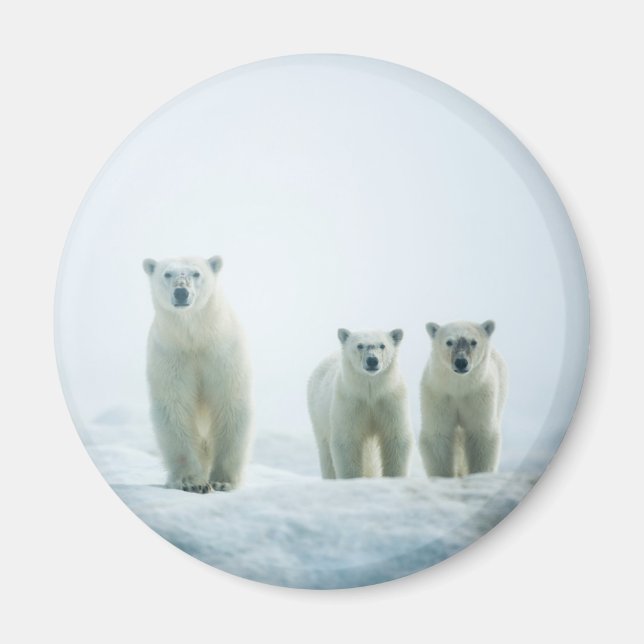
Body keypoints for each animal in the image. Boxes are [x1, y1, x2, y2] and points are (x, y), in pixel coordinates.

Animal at [142, 255, 253, 493]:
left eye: (196, 273)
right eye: (167, 273)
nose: (181, 292)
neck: (195, 338)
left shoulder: (223, 353)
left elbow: (229, 403)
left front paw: (222, 481)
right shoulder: (171, 355)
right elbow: (175, 407)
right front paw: (192, 482)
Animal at [307, 328, 413, 479]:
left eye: (382, 345)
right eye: (360, 345)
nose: (372, 360)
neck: (370, 392)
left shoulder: (390, 400)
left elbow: (395, 437)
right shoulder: (350, 402)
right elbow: (347, 441)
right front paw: (352, 478)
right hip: (318, 415)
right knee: (325, 450)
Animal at [419, 320, 508, 477]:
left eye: (473, 342)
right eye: (449, 342)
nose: (461, 362)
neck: (459, 388)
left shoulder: (479, 395)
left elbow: (481, 435)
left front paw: (479, 474)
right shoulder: (438, 394)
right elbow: (438, 434)